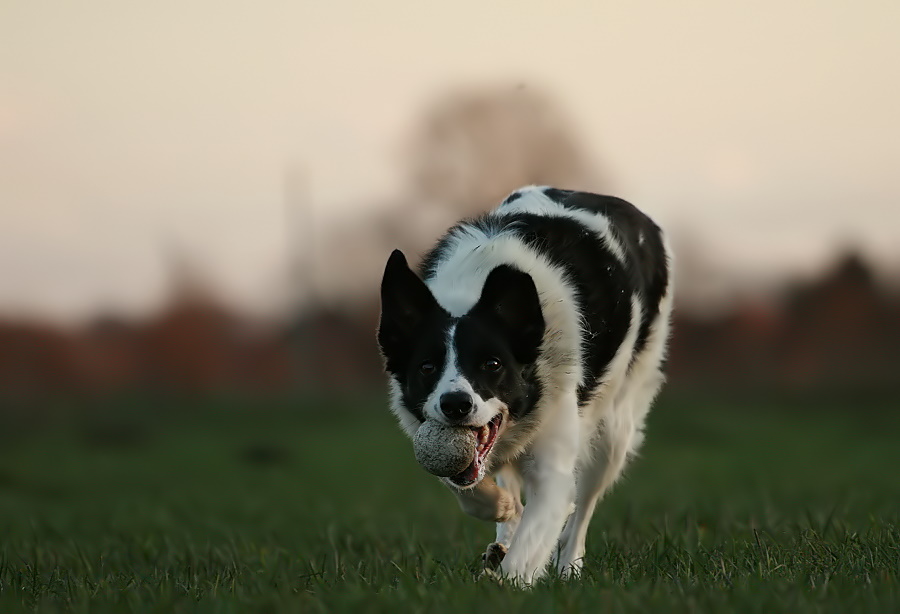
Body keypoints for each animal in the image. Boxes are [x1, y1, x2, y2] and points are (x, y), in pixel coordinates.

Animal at [376, 186, 672, 588]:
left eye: (493, 364)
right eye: (427, 367)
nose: (455, 404)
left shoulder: (553, 468)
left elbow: (538, 531)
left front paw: (508, 583)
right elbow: (464, 482)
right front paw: (501, 508)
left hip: (614, 430)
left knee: (583, 508)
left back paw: (568, 567)